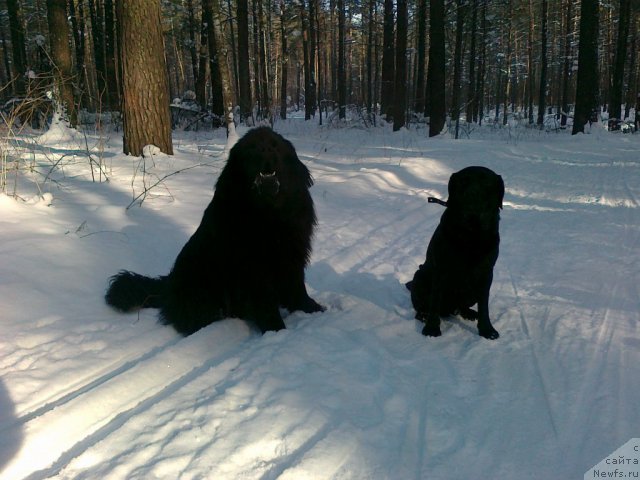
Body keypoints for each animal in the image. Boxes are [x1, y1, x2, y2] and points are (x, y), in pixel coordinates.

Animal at [107, 127, 324, 338]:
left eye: (275, 146)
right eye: (252, 148)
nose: (265, 151)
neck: (268, 212)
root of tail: (169, 283)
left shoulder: (292, 254)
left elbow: (297, 287)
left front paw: (312, 310)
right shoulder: (253, 268)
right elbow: (266, 300)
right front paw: (276, 330)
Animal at [404, 167, 504, 340]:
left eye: (486, 182)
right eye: (462, 181)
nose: (471, 195)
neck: (471, 234)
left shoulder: (486, 273)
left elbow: (484, 306)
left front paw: (487, 330)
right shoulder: (440, 269)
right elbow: (434, 302)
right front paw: (431, 328)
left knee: (463, 306)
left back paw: (469, 313)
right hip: (419, 277)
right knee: (423, 307)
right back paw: (424, 316)